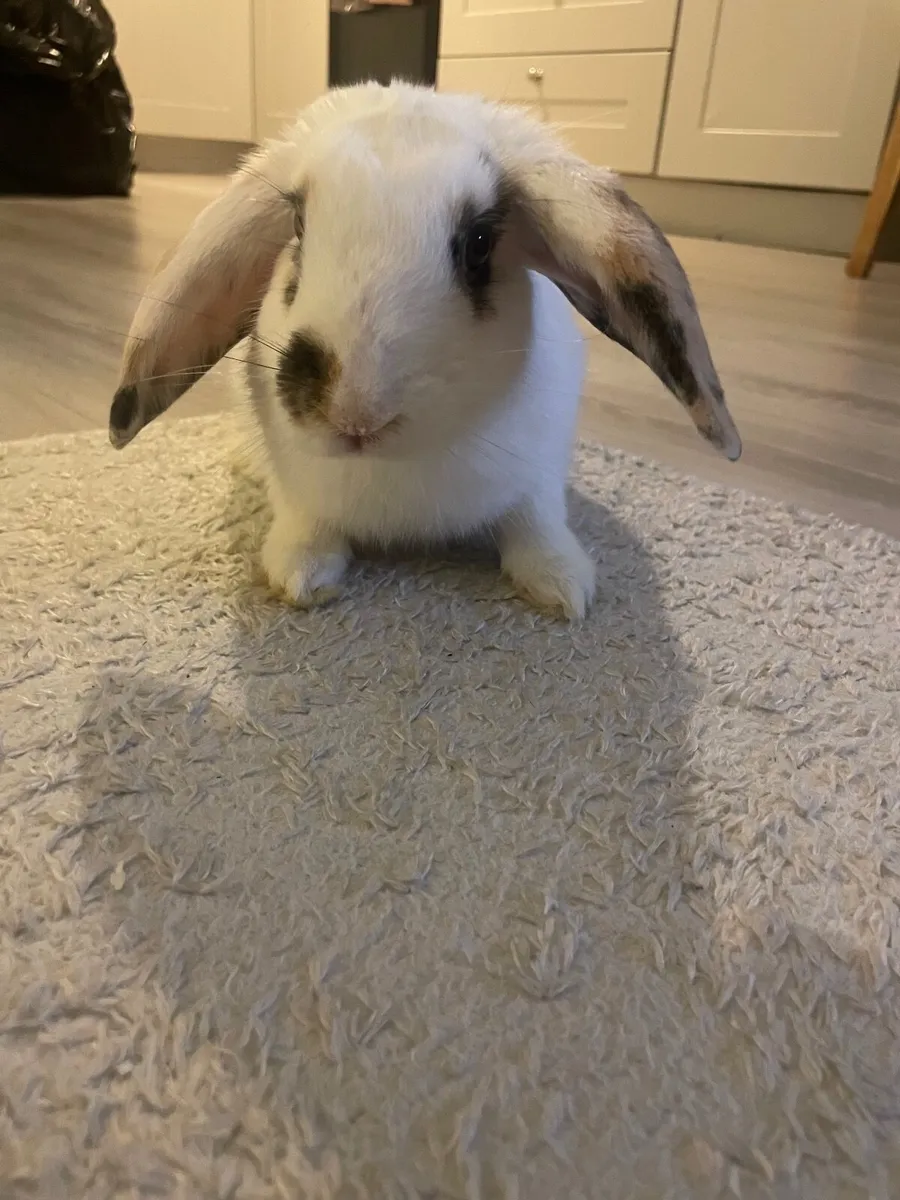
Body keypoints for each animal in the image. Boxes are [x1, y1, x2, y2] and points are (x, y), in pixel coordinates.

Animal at [108, 81, 742, 619]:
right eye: (297, 227)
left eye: (480, 245)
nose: (355, 412)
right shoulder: (298, 487)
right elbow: (306, 522)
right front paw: (302, 577)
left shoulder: (540, 469)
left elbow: (536, 521)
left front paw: (563, 589)